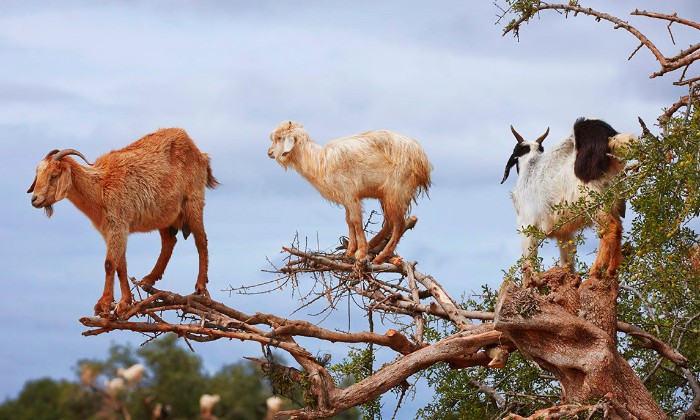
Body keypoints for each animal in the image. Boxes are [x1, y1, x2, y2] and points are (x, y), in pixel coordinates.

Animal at [268, 120, 432, 262]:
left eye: (279, 138)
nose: (269, 152)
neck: (319, 162)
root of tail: (423, 161)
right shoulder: (346, 197)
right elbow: (349, 221)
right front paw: (350, 252)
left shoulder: (350, 194)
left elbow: (356, 220)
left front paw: (360, 253)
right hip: (387, 194)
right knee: (389, 223)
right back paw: (373, 245)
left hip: (397, 189)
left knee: (398, 224)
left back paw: (381, 256)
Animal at [500, 116, 636, 284]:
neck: (531, 167)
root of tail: (607, 138)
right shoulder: (564, 233)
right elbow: (568, 262)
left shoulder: (527, 227)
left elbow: (528, 264)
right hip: (613, 199)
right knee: (619, 228)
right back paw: (612, 271)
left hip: (594, 201)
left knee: (611, 228)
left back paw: (596, 271)